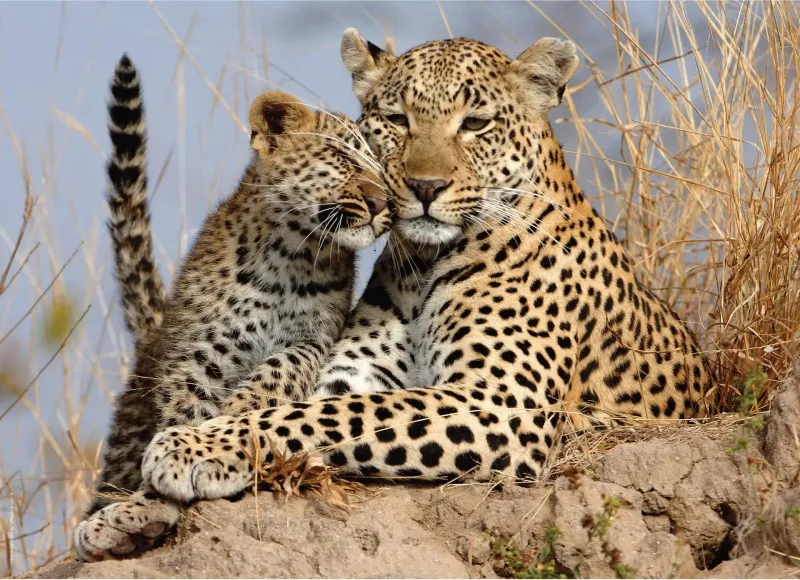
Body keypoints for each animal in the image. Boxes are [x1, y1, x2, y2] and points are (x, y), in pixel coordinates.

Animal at [73, 54, 391, 561]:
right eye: (341, 158)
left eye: (387, 174)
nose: (382, 203)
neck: (291, 256)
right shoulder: (199, 350)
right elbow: (184, 416)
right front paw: (147, 505)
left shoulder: (316, 338)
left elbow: (278, 372)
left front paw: (237, 413)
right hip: (128, 428)